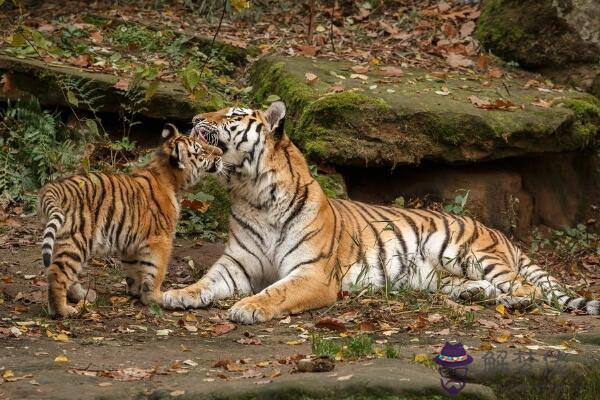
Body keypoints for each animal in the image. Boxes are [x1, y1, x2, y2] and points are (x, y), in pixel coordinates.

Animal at [162, 101, 596, 324]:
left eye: (232, 116)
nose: (195, 119)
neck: (252, 194)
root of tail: (498, 232)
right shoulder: (236, 265)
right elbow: (204, 282)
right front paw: (176, 295)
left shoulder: (313, 273)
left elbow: (277, 290)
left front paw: (248, 306)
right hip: (437, 273)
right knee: (483, 286)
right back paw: (471, 293)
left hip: (466, 251)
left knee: (527, 288)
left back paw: (518, 302)